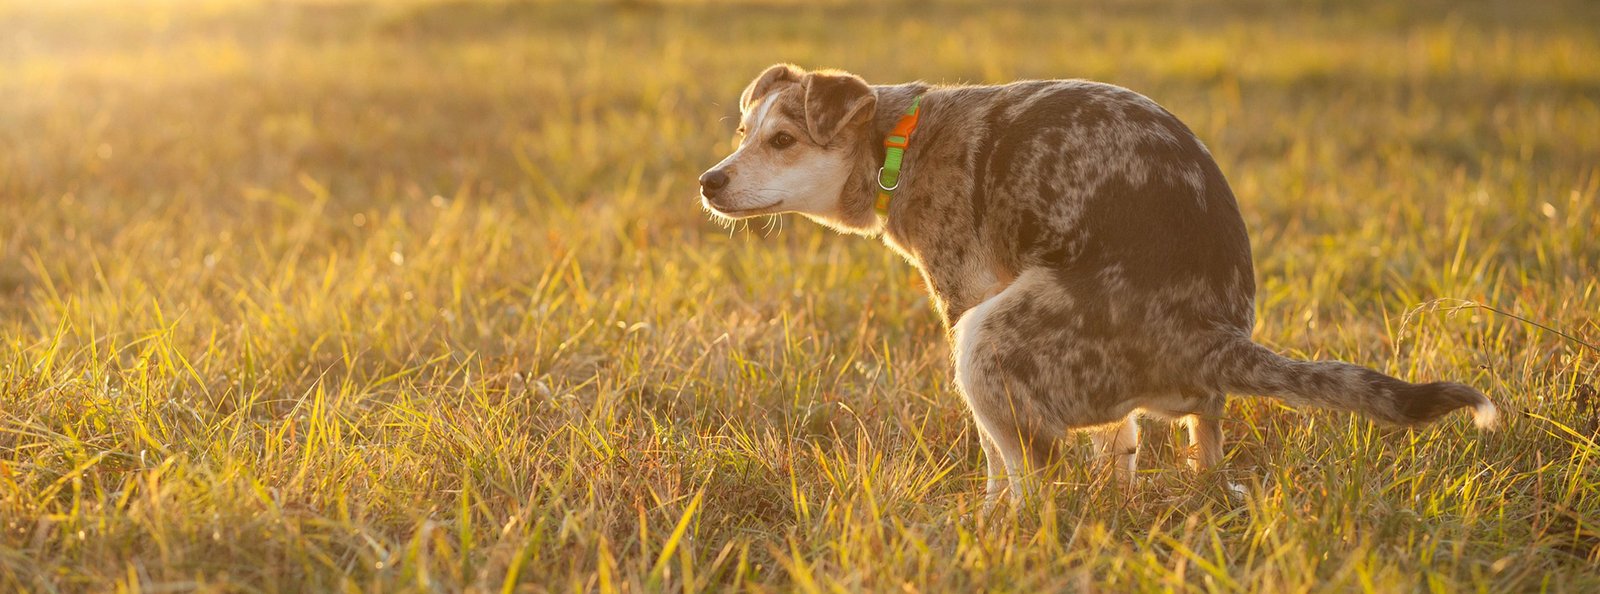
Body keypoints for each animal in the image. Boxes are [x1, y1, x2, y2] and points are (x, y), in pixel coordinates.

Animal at [694, 62, 1491, 505]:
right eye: (742, 134)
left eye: (782, 141)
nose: (708, 181)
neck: (899, 140)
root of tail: (1213, 335)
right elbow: (1122, 440)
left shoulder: (964, 298)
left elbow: (996, 458)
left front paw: (988, 515)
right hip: (1171, 399)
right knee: (1196, 440)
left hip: (986, 340)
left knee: (1037, 476)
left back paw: (1014, 528)